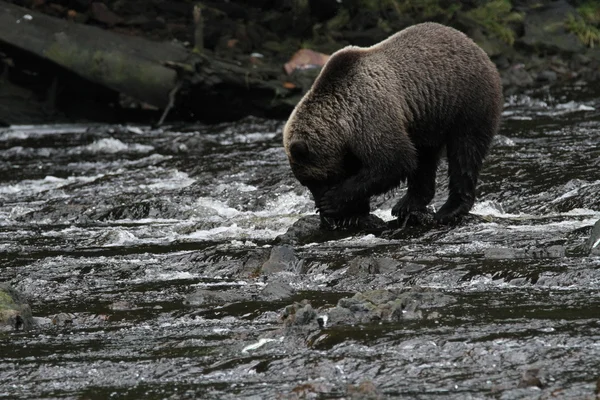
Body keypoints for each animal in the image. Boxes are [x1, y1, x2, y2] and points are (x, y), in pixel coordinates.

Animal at [282, 21, 502, 225]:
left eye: (314, 180)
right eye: (307, 182)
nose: (322, 211)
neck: (343, 121)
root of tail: (474, 45)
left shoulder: (371, 116)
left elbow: (393, 161)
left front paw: (333, 203)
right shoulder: (353, 140)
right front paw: (351, 213)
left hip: (467, 100)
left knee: (465, 152)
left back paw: (450, 209)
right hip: (428, 120)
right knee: (426, 159)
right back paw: (407, 204)